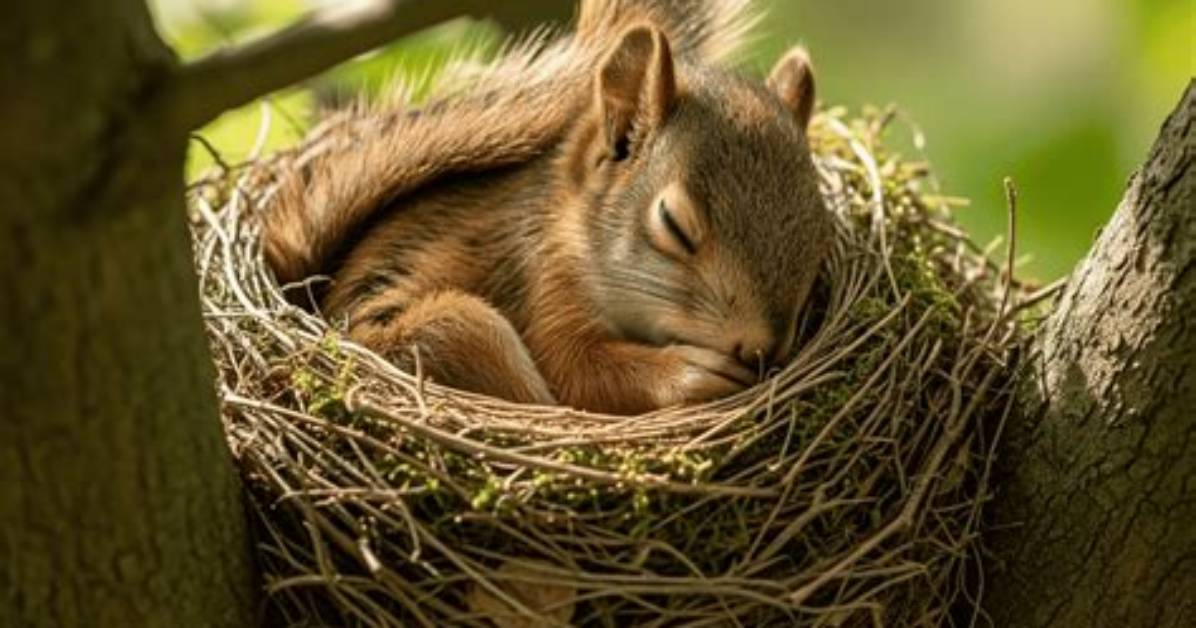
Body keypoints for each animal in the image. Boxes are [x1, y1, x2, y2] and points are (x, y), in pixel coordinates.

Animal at [263, 0, 833, 415]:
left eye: (819, 232)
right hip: (459, 330)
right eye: (673, 225)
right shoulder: (541, 282)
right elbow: (577, 372)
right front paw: (692, 373)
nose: (760, 348)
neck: (572, 231)